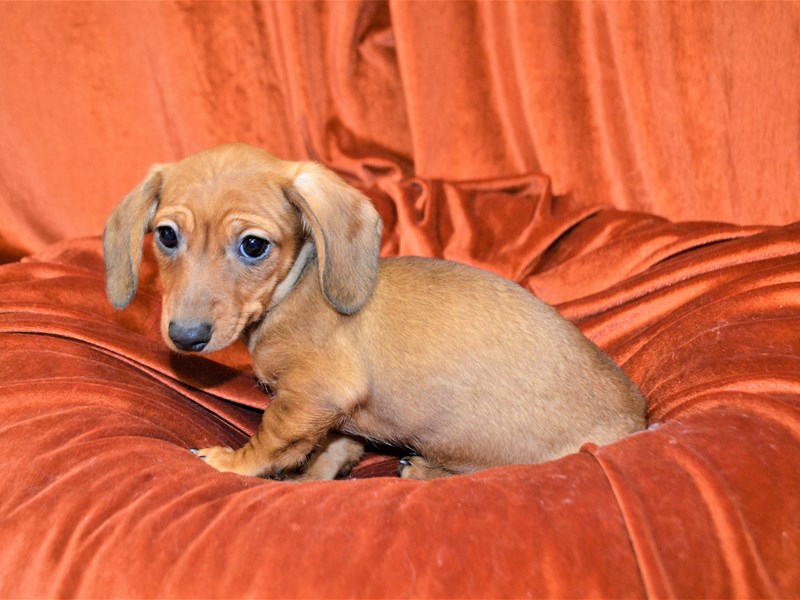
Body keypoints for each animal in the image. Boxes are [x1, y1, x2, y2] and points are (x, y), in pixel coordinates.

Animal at [103, 143, 648, 480]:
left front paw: (231, 464)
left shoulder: (312, 394)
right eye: (167, 235)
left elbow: (271, 439)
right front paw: (315, 476)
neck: (294, 290)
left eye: (254, 246)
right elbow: (331, 448)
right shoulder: (335, 418)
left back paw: (424, 469)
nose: (185, 336)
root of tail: (638, 423)